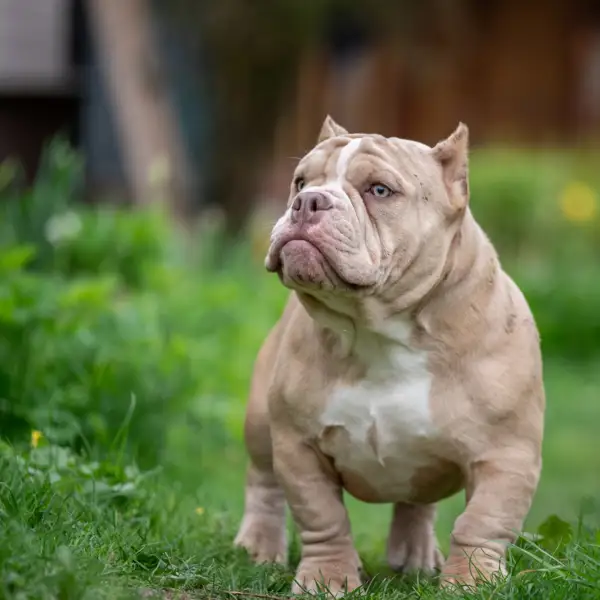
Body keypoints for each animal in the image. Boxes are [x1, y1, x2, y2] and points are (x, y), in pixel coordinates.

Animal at [233, 115, 544, 592]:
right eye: (300, 181)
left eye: (379, 190)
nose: (307, 202)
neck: (377, 330)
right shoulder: (299, 446)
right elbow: (322, 517)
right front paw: (326, 578)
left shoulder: (505, 456)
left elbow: (481, 524)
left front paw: (471, 583)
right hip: (261, 423)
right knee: (263, 480)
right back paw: (258, 545)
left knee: (417, 502)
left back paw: (415, 556)